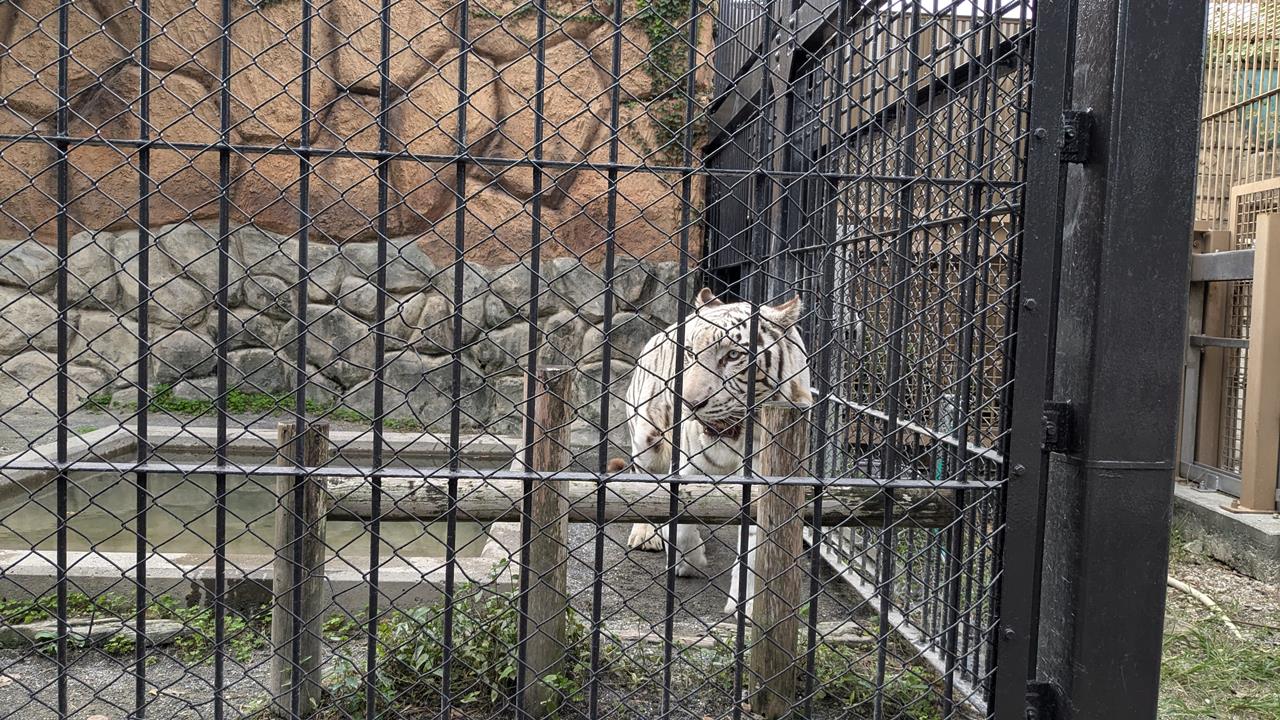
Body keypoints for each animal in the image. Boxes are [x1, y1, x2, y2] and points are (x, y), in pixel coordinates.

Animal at [616, 285, 808, 609]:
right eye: (690, 352)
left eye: (733, 355)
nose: (689, 403)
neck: (735, 434)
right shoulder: (686, 463)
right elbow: (679, 516)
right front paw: (688, 562)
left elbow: (754, 546)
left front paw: (744, 603)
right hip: (647, 440)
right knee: (644, 482)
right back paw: (647, 535)